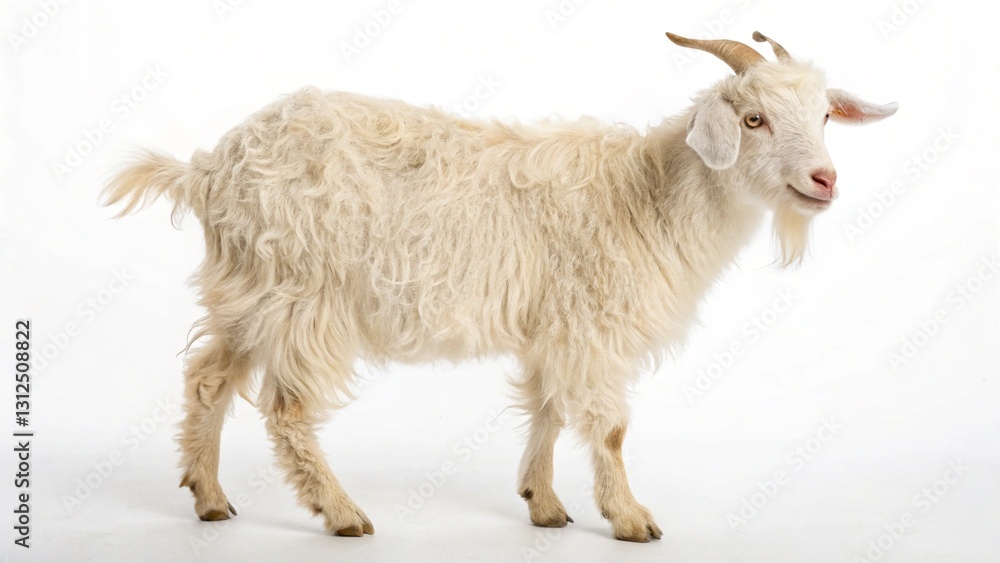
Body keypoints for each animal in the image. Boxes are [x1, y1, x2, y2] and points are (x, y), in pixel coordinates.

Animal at [103, 32, 896, 542]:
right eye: (754, 119)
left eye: (825, 117)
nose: (824, 180)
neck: (646, 193)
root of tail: (210, 167)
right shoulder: (592, 321)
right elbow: (608, 425)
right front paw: (631, 518)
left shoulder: (554, 323)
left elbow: (546, 407)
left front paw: (544, 504)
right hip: (304, 293)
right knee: (289, 407)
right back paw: (341, 513)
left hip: (249, 289)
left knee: (208, 378)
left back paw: (208, 496)